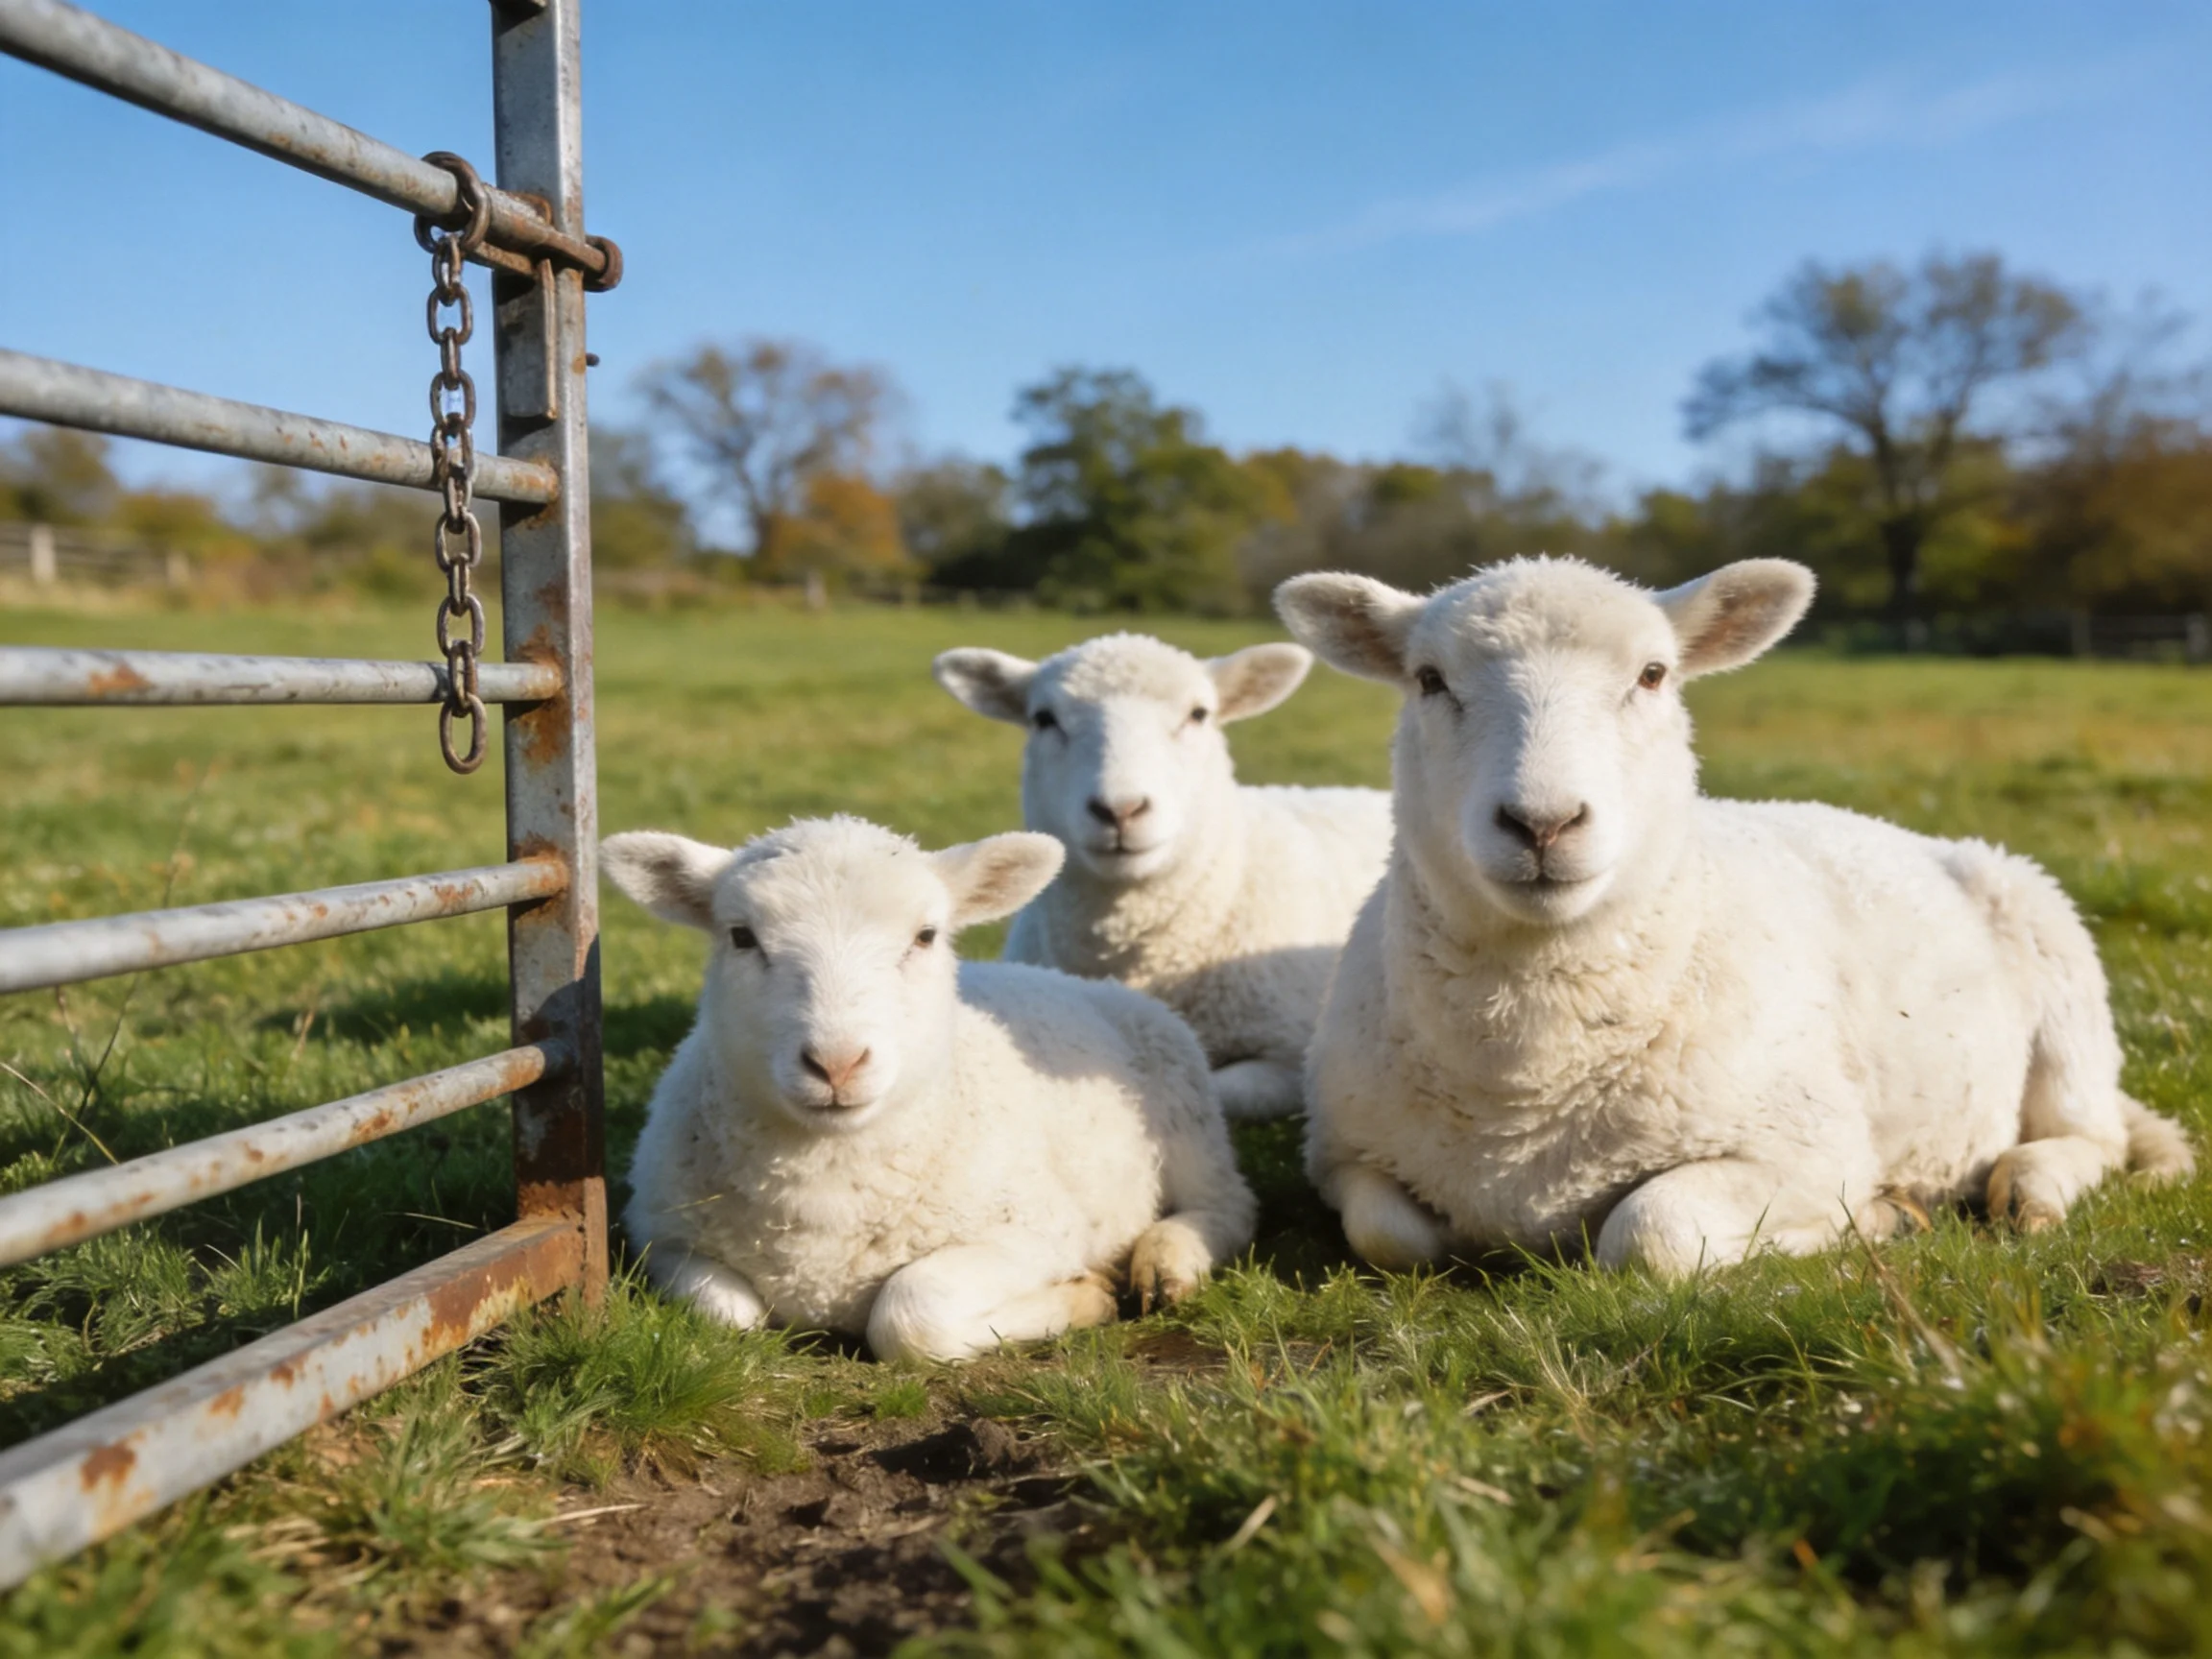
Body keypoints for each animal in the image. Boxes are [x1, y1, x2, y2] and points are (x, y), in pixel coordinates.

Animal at [601, 815, 1257, 1362]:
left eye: (925, 936)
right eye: (741, 936)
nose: (836, 1063)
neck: (826, 1198)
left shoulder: (1035, 1233)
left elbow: (910, 1314)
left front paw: (1085, 1297)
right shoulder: (659, 1236)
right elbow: (730, 1317)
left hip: (1189, 1120)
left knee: (1228, 1205)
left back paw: (1167, 1261)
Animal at [1272, 555, 2195, 1279]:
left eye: (1653, 675)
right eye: (1429, 680)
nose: (1543, 824)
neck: (1526, 1079)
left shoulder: (1809, 1146)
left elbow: (1651, 1235)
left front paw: (1875, 1218)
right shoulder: (1342, 1153)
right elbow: (1389, 1236)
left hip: (2064, 975)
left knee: (2092, 1136)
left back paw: (2031, 1187)